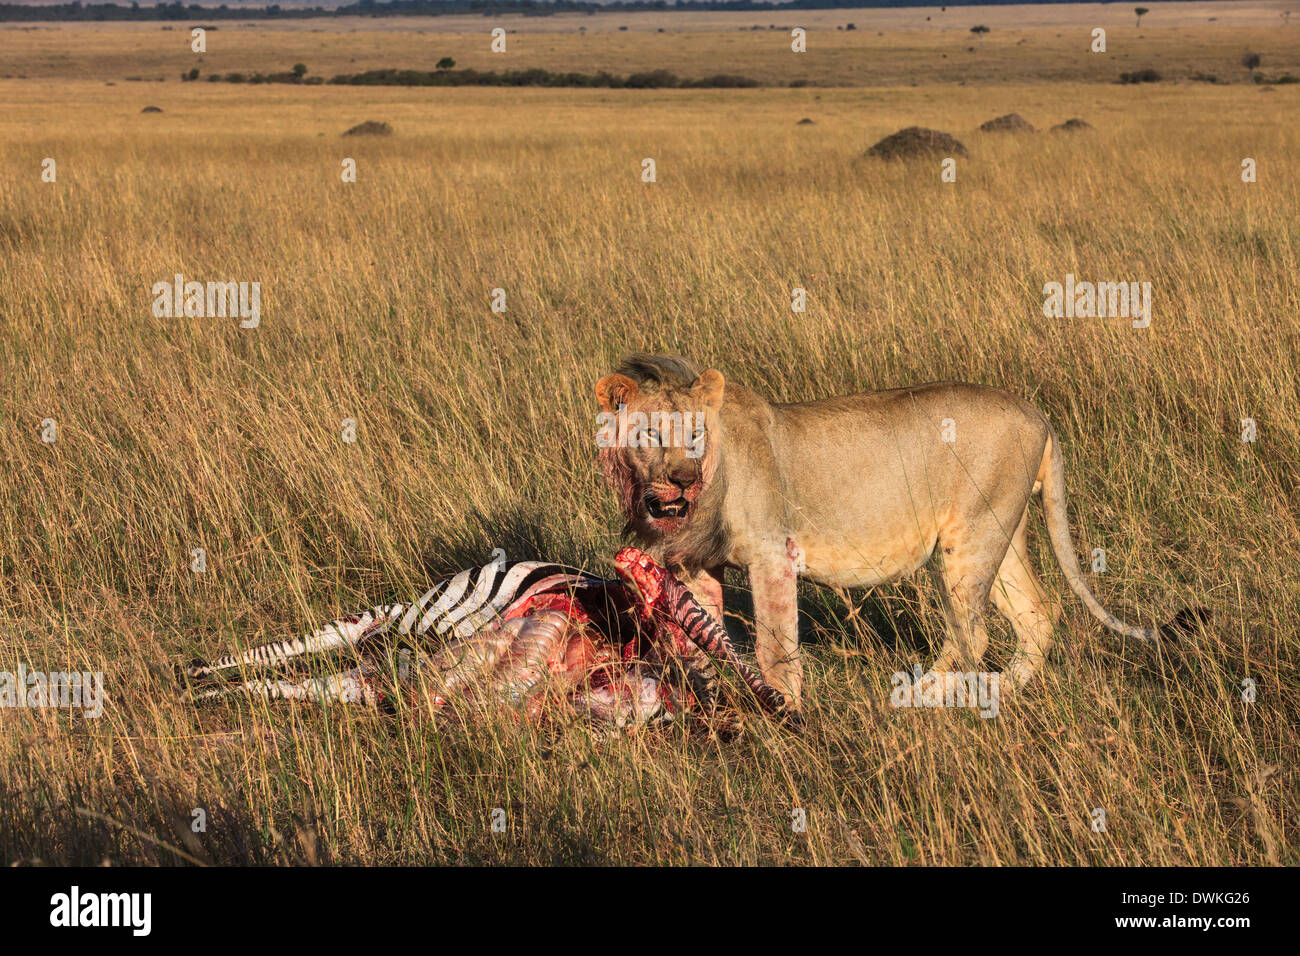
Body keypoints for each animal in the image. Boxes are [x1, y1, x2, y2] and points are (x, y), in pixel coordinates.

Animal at [595, 356, 1201, 707]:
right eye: (652, 433)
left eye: (695, 434)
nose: (683, 477)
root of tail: (1039, 415)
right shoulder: (700, 564)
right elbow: (705, 635)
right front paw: (712, 697)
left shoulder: (772, 554)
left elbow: (775, 645)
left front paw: (783, 709)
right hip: (1000, 534)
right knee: (1038, 615)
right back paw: (1000, 691)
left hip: (967, 541)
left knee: (973, 634)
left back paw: (926, 696)